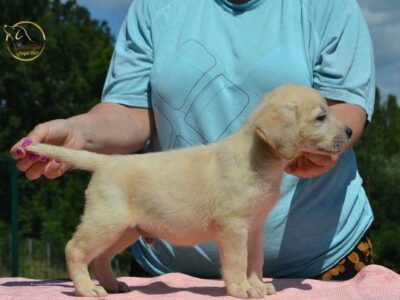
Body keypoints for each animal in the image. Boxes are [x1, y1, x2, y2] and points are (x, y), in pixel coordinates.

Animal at [25, 84, 352, 298]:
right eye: (320, 117)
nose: (350, 131)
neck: (258, 158)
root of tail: (107, 161)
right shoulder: (233, 227)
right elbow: (237, 261)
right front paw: (241, 289)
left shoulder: (255, 228)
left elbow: (255, 261)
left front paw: (258, 285)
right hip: (106, 221)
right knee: (76, 250)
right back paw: (86, 288)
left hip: (125, 230)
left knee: (100, 258)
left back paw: (112, 285)